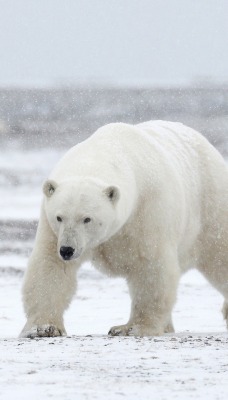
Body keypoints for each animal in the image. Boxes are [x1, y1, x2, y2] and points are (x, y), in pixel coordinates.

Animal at [20, 119, 228, 338]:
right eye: (59, 217)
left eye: (87, 219)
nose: (67, 250)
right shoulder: (51, 227)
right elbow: (50, 265)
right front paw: (43, 327)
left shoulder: (148, 209)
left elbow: (150, 265)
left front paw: (130, 328)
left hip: (210, 204)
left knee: (219, 255)